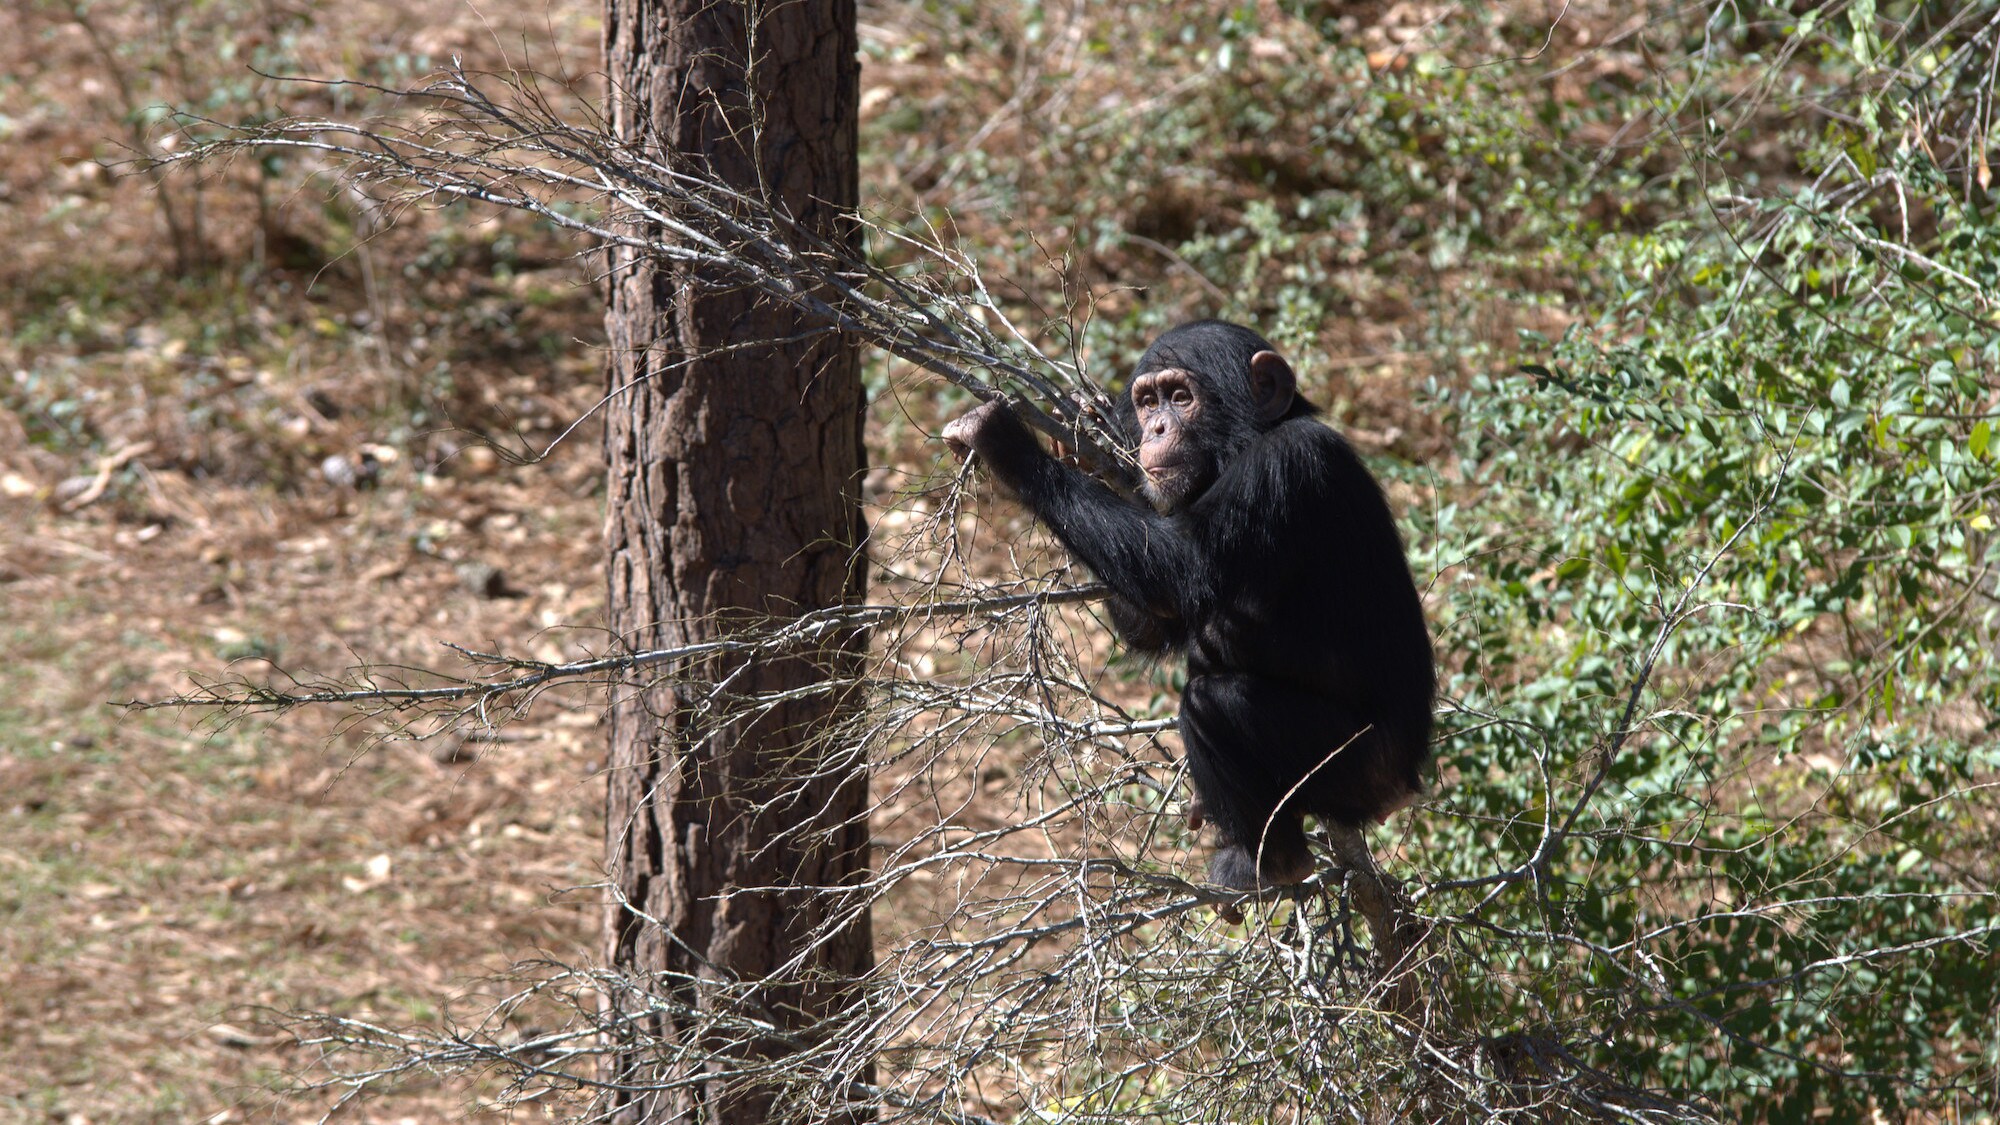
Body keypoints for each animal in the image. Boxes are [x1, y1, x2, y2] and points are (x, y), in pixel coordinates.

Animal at [940, 320, 1432, 888]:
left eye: (1180, 397)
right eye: (1146, 402)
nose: (1154, 429)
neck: (1244, 443)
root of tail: (1406, 786)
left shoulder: (1286, 463)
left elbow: (1179, 568)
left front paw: (1005, 441)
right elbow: (1161, 618)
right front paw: (1086, 437)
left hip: (1360, 771)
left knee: (1213, 700)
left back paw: (1270, 860)